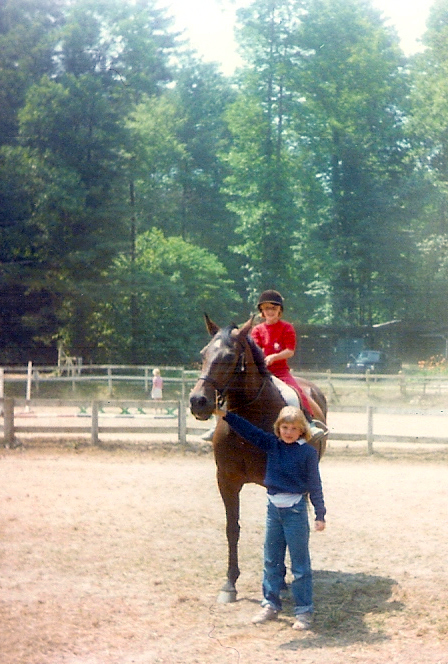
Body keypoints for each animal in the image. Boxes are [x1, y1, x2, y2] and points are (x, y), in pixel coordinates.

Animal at [190, 316, 328, 600]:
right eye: (203, 353)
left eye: (229, 356)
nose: (198, 401)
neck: (249, 419)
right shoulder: (226, 481)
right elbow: (232, 528)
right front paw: (230, 583)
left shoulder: (276, 483)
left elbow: (280, 531)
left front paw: (280, 579)